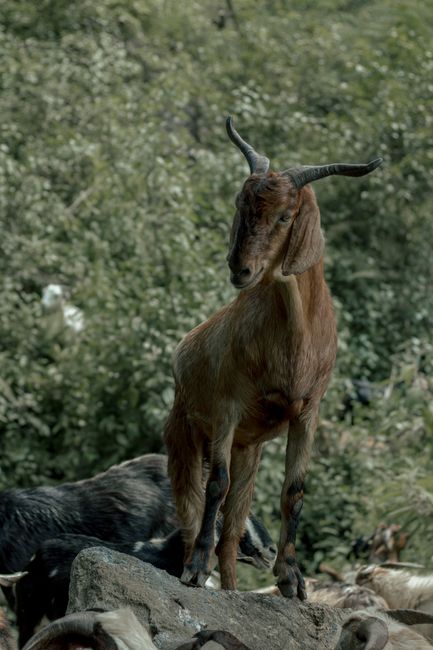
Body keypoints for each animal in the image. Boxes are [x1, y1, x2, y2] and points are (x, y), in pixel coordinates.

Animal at [164, 116, 382, 597]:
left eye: (285, 214)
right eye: (241, 204)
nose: (239, 269)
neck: (294, 345)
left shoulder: (307, 413)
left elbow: (294, 491)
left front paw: (291, 579)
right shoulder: (226, 409)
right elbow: (216, 485)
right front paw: (196, 571)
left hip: (250, 452)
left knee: (231, 535)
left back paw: (230, 588)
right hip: (184, 437)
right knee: (191, 512)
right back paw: (194, 567)